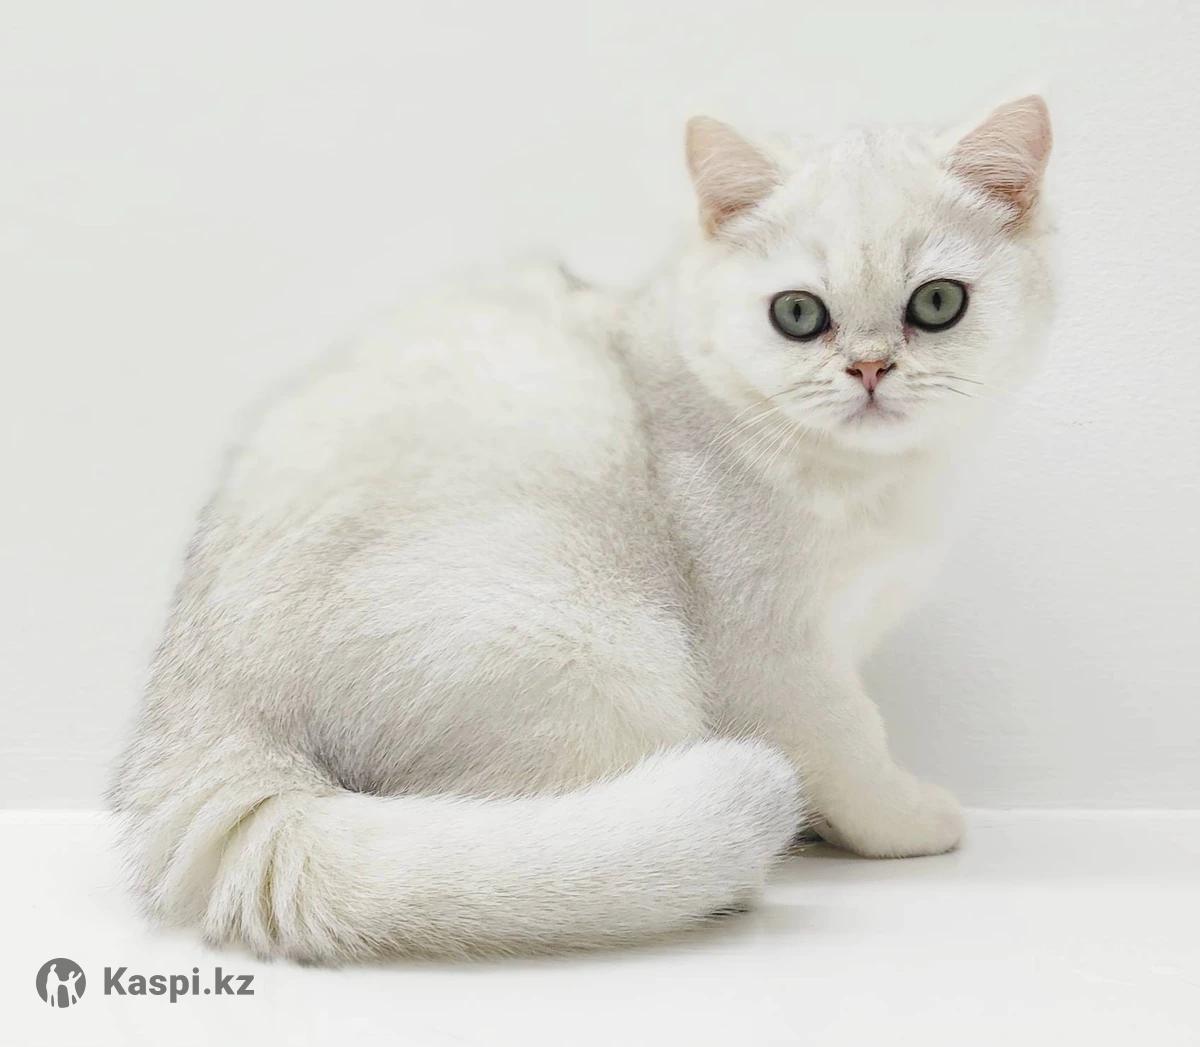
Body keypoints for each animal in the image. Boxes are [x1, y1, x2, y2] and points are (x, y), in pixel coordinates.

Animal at [111, 96, 1053, 962]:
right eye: (798, 314)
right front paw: (904, 820)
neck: (868, 485)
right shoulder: (777, 658)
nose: (868, 368)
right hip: (602, 662)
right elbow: (853, 745)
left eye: (937, 303)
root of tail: (194, 714)